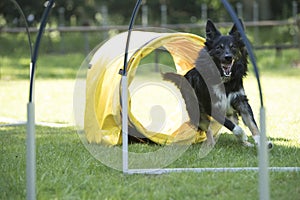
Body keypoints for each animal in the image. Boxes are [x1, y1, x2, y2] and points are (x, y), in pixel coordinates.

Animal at [164, 19, 272, 148]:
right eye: (219, 48)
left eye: (233, 46)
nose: (228, 57)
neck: (224, 81)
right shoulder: (210, 105)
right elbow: (232, 125)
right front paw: (242, 134)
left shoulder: (240, 100)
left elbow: (252, 123)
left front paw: (260, 141)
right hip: (195, 109)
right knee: (207, 128)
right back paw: (210, 144)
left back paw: (245, 144)